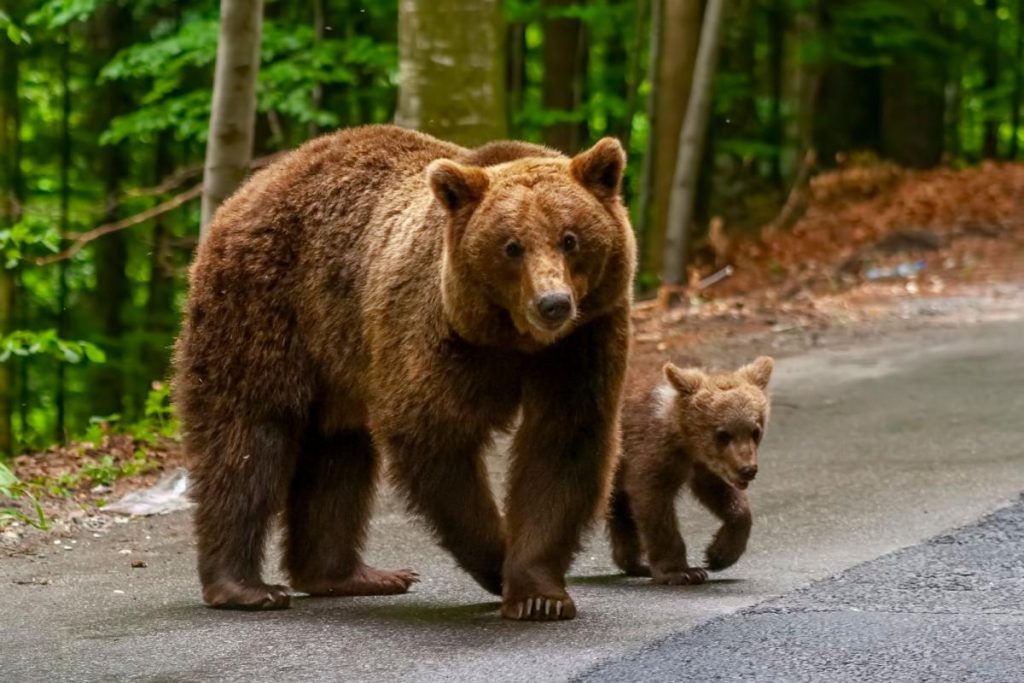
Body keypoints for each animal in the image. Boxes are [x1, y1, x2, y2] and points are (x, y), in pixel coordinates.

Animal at [175, 122, 634, 618]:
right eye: (512, 247)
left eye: (570, 238)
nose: (552, 303)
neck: (513, 339)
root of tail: (252, 186)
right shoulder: (436, 335)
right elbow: (433, 435)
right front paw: (498, 560)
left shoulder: (581, 340)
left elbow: (563, 442)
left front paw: (537, 593)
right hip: (264, 308)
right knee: (247, 438)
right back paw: (246, 587)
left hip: (342, 357)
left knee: (339, 454)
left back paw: (348, 576)